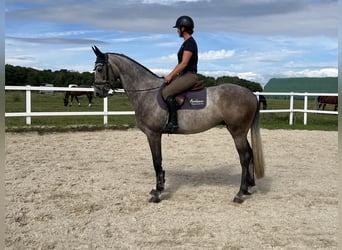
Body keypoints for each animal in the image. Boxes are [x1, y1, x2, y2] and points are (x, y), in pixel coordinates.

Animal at [91, 46, 264, 204]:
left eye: (99, 68)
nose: (98, 92)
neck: (146, 92)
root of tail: (251, 94)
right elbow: (158, 162)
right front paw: (159, 187)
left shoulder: (153, 134)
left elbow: (157, 161)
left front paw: (157, 193)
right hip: (239, 131)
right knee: (249, 153)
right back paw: (248, 187)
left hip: (237, 132)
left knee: (244, 156)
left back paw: (240, 193)